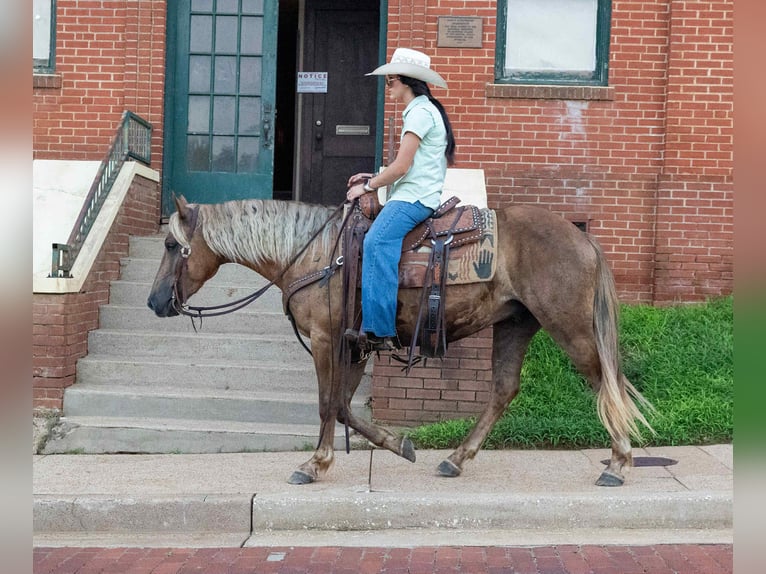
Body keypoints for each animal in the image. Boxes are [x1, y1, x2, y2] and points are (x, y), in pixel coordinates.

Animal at [147, 195, 654, 487]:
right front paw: (398, 445)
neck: (315, 254)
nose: (153, 301)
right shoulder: (351, 344)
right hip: (515, 323)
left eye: (172, 245)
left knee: (605, 382)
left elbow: (328, 404)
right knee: (504, 389)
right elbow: (344, 406)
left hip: (569, 325)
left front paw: (315, 464)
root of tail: (582, 238)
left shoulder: (327, 338)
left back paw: (618, 463)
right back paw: (456, 459)